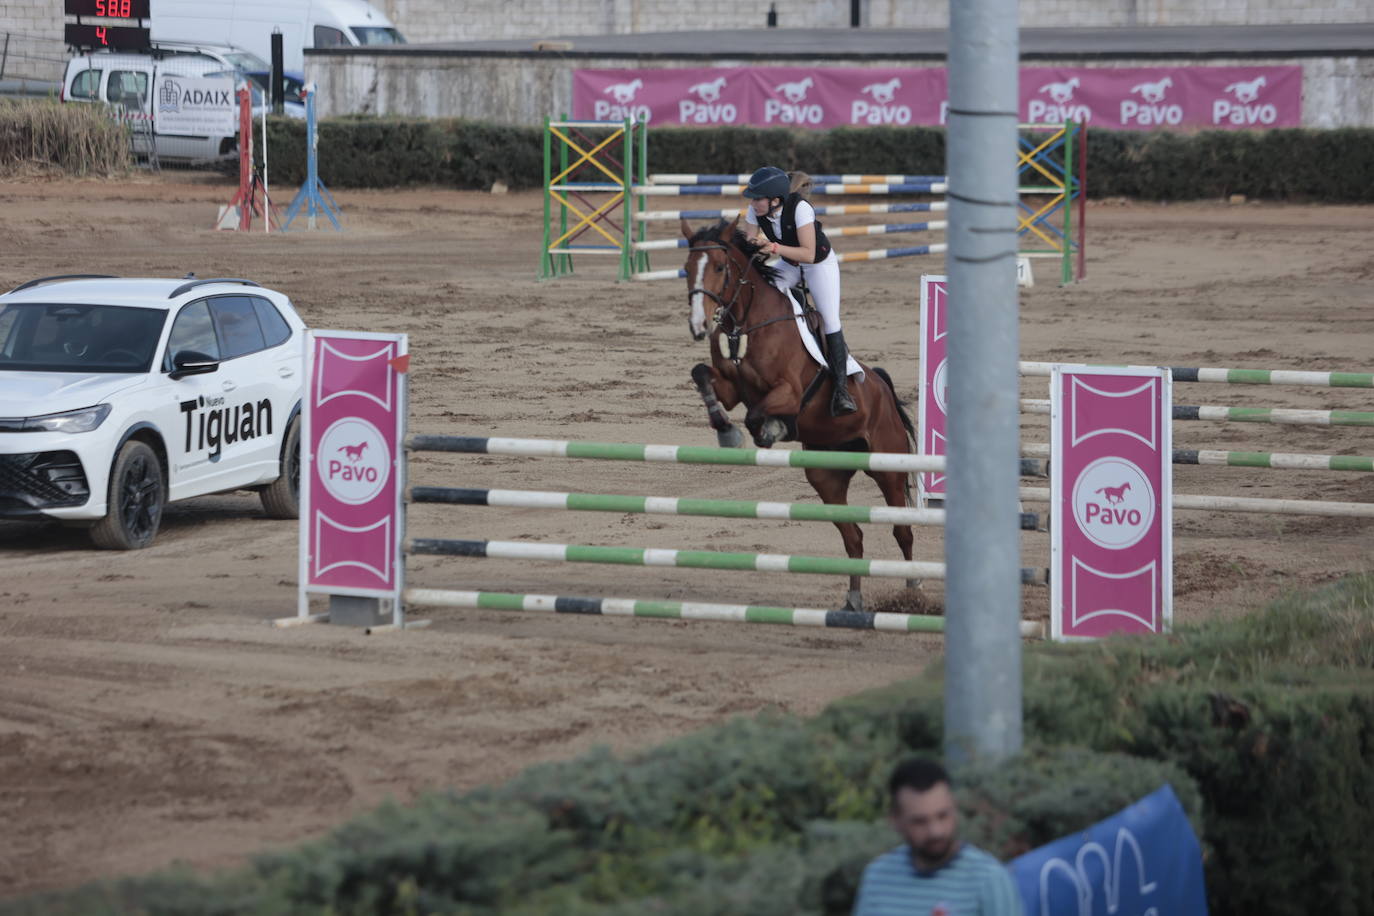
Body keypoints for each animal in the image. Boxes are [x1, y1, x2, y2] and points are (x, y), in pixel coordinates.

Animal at [681, 218, 917, 612]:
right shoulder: (729, 389)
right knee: (853, 537)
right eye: (686, 268)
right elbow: (703, 376)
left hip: (887, 467)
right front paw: (726, 432)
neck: (746, 323)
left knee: (903, 530)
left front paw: (770, 430)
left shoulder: (789, 391)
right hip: (826, 476)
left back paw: (913, 591)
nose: (698, 326)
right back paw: (854, 600)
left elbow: (757, 414)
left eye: (719, 267)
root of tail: (882, 388)